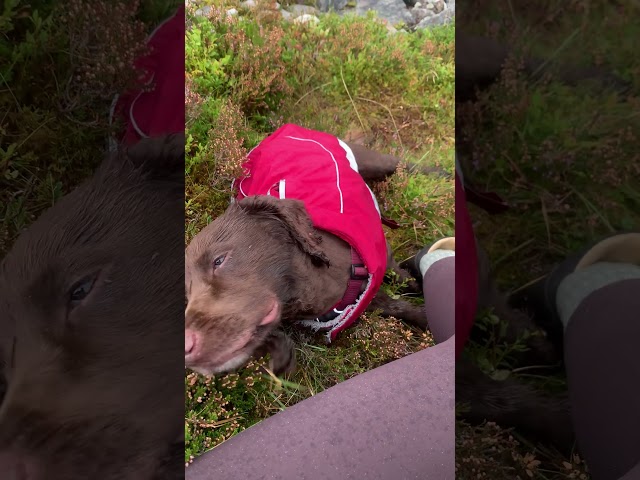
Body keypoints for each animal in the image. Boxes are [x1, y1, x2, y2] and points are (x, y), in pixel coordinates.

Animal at [182, 140, 438, 378]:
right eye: (188, 292)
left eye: (219, 260)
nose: (187, 348)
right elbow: (395, 305)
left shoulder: (379, 249)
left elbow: (399, 288)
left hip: (376, 162)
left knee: (403, 164)